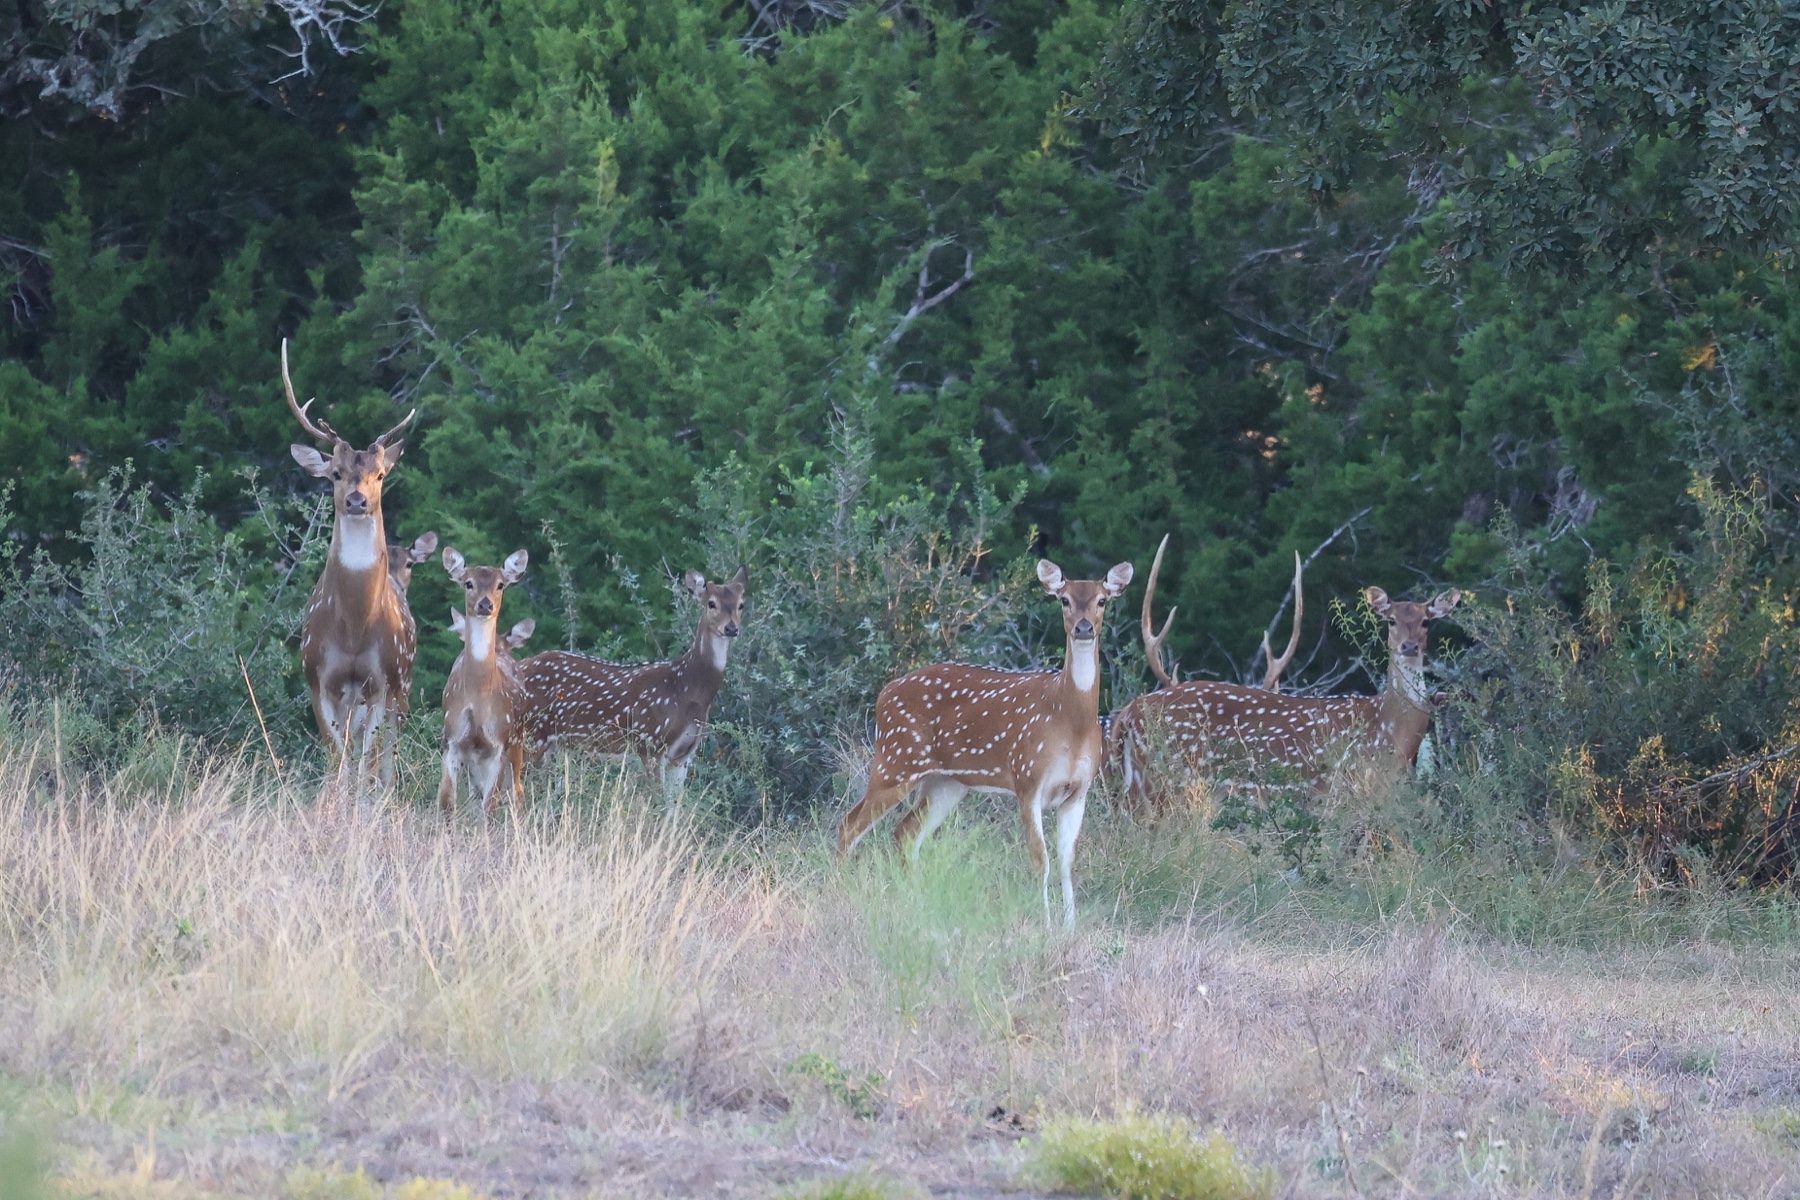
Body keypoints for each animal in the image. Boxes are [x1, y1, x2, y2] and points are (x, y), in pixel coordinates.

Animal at [283, 338, 417, 787]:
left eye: (380, 475)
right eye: (336, 473)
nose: (357, 501)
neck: (354, 630)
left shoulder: (382, 683)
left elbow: (366, 766)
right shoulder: (317, 679)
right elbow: (336, 762)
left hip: (402, 689)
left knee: (386, 760)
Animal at [438, 547, 534, 818]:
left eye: (500, 584)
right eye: (468, 583)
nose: (485, 604)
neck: (478, 696)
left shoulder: (498, 744)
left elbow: (490, 806)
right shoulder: (452, 740)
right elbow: (447, 802)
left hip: (518, 739)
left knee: (517, 791)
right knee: (475, 794)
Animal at [517, 566, 748, 794]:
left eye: (741, 605)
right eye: (711, 603)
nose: (731, 628)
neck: (685, 689)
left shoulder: (683, 755)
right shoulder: (650, 742)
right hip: (532, 734)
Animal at [837, 558, 1134, 930]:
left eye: (1102, 600)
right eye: (1064, 599)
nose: (1083, 628)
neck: (1070, 721)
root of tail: (883, 694)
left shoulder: (1078, 790)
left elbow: (1067, 862)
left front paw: (1070, 927)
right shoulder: (1027, 779)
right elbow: (1040, 859)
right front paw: (1046, 925)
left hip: (947, 783)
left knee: (905, 833)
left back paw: (918, 906)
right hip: (896, 759)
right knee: (850, 825)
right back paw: (840, 895)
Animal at [1115, 543, 1459, 805]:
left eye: (1426, 621)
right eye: (1390, 621)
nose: (1409, 646)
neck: (1392, 730)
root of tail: (1129, 712)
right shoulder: (1339, 791)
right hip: (1178, 780)